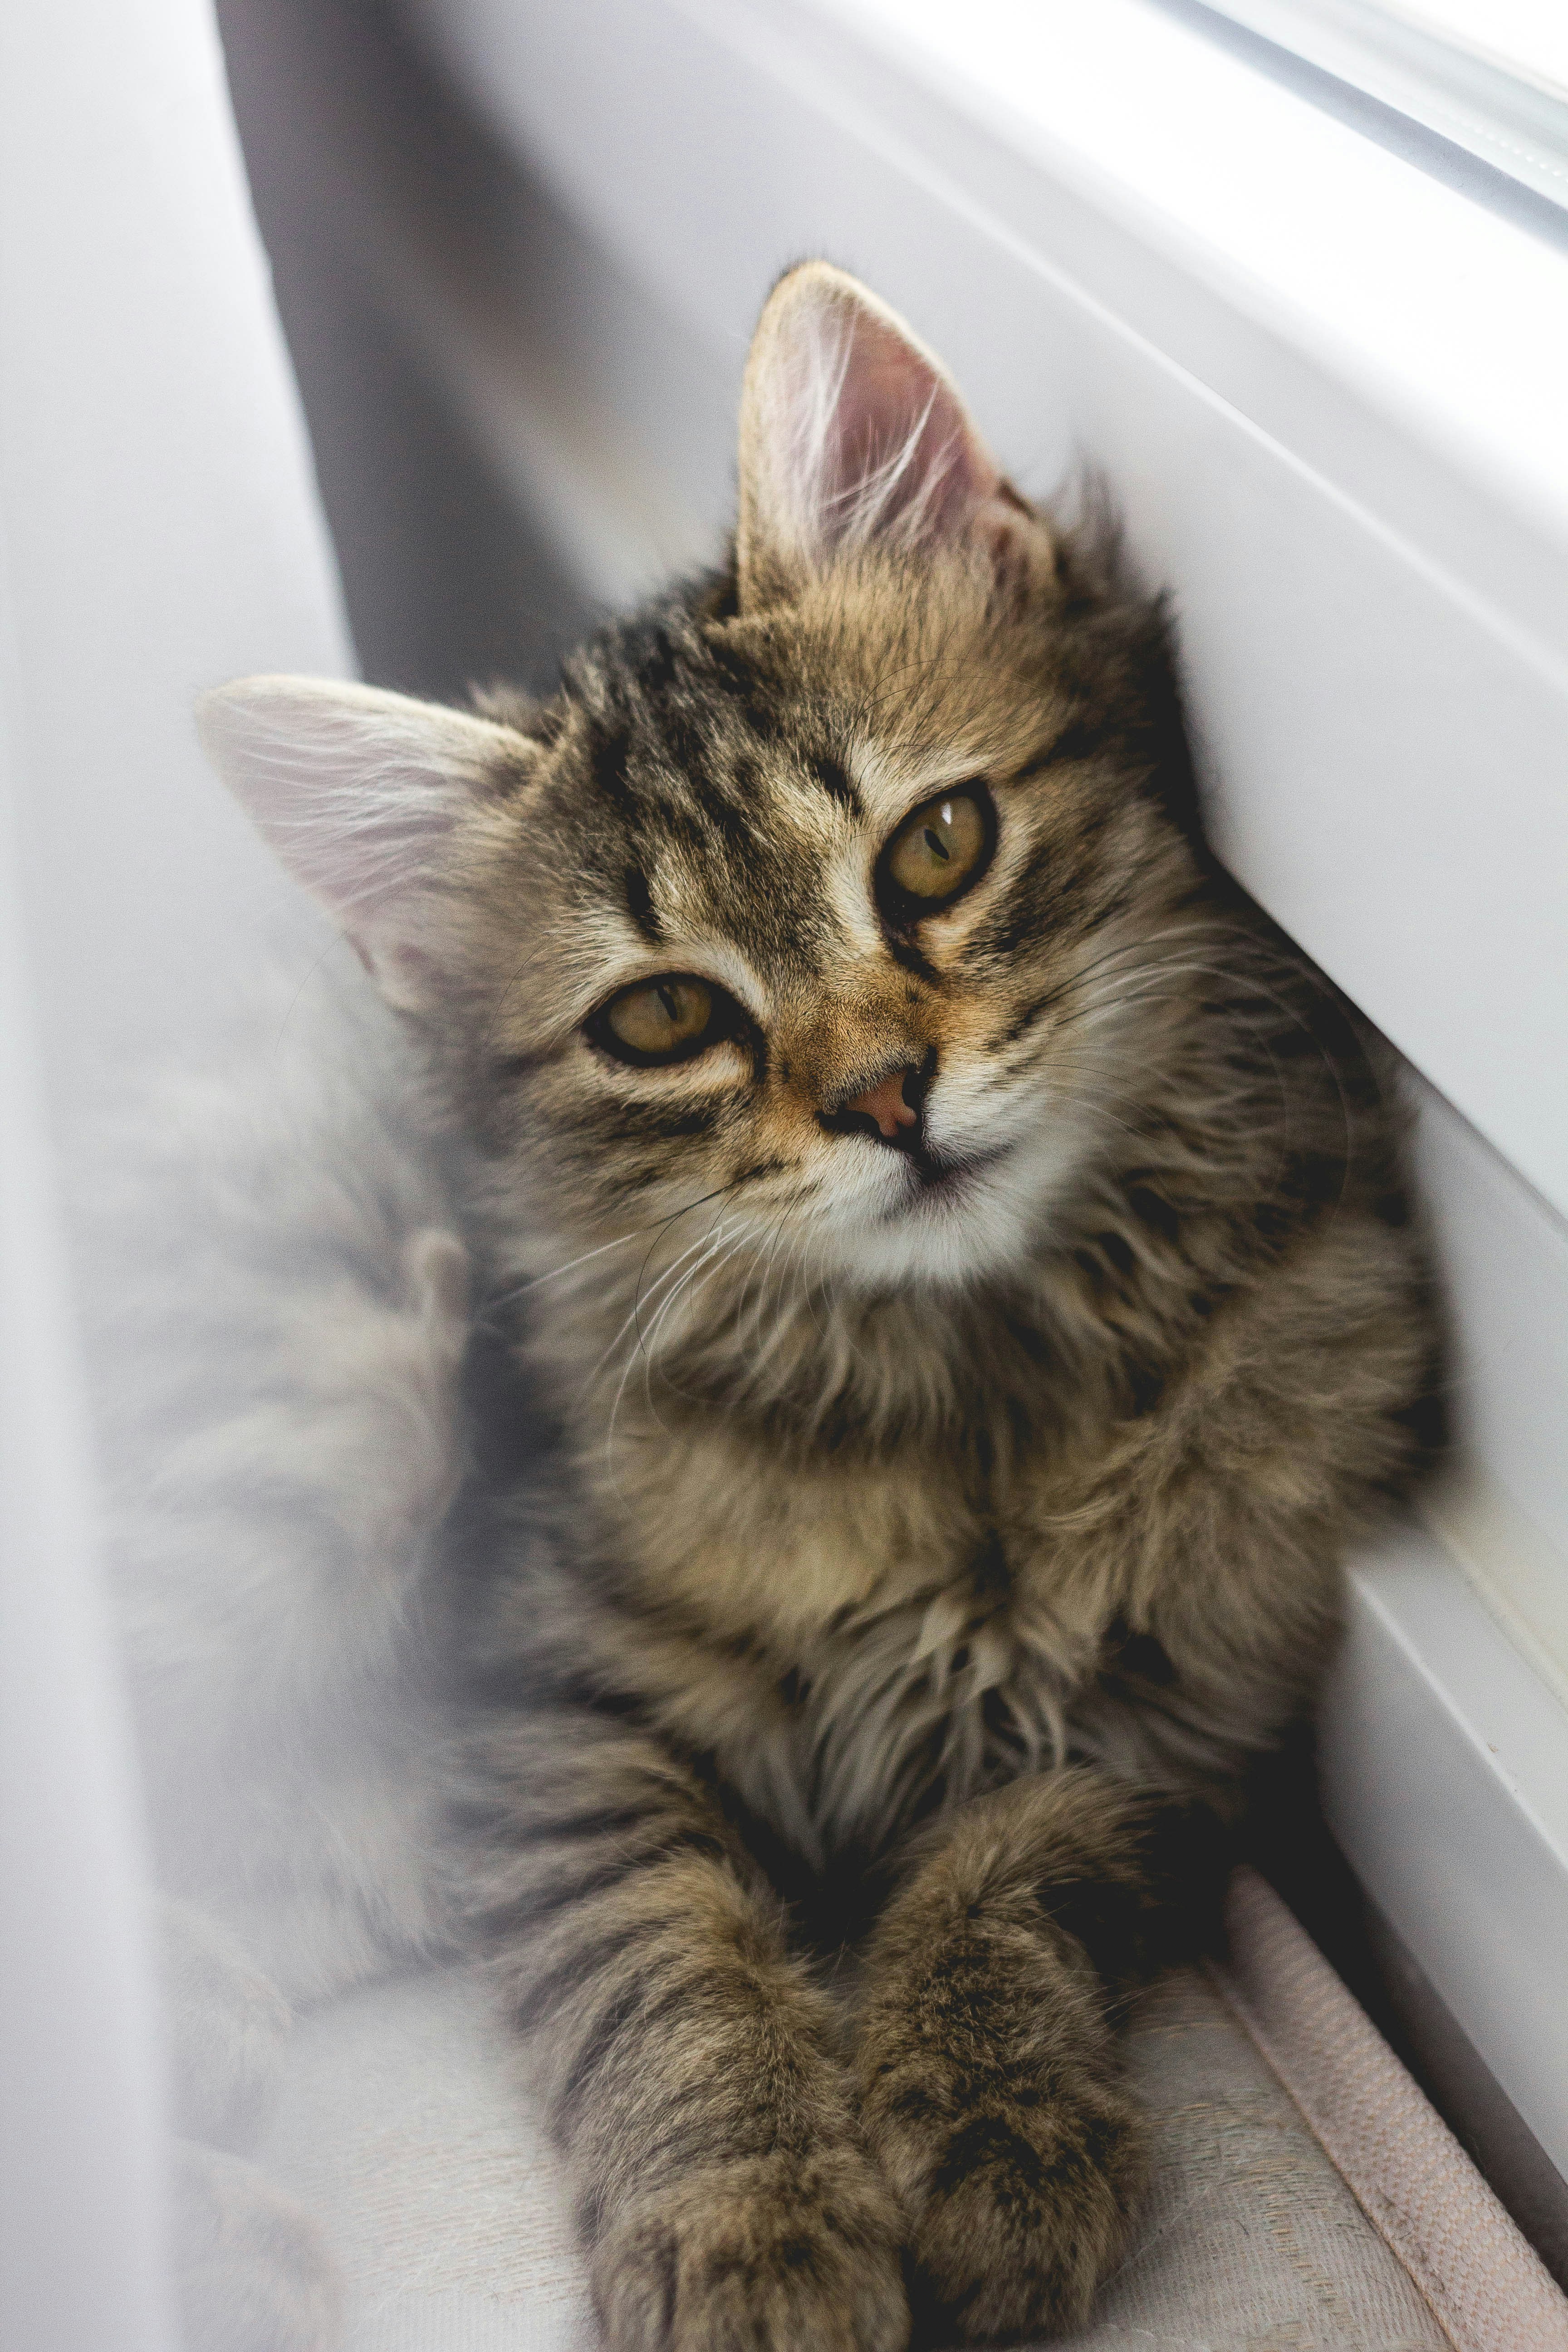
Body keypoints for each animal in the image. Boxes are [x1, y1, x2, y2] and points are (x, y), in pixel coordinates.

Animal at [166, 262, 1439, 2352]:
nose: (885, 1100)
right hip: (319, 1437)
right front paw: (751, 2227)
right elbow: (666, 1978)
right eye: (665, 1017)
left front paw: (996, 2129)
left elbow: (1000, 1886)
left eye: (937, 847)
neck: (969, 1379)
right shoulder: (554, 1707)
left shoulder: (1165, 1718)